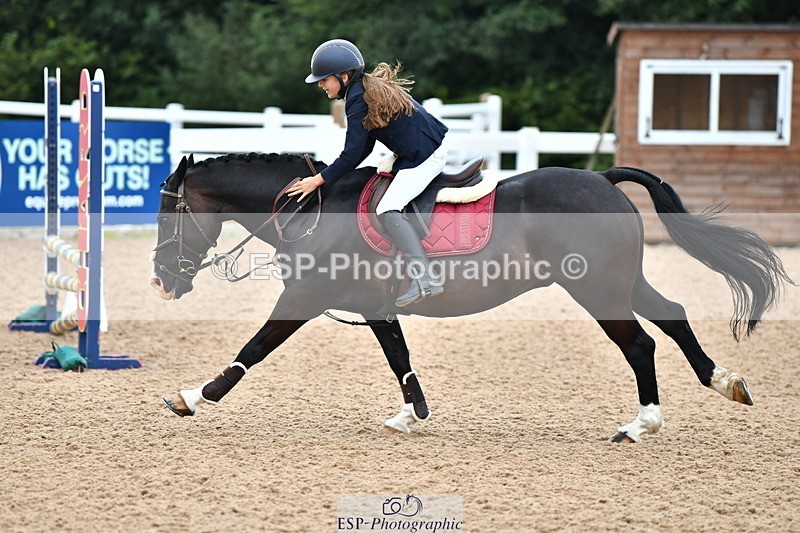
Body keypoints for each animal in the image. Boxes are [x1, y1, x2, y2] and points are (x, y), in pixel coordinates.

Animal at [152, 152, 791, 442]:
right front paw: (411, 414)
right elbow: (400, 358)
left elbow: (253, 348)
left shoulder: (305, 296)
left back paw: (642, 424)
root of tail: (602, 178)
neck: (312, 210)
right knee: (673, 317)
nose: (161, 281)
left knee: (639, 344)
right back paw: (725, 381)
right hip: (620, 280)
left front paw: (193, 396)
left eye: (168, 214)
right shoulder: (374, 306)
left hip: (596, 288)